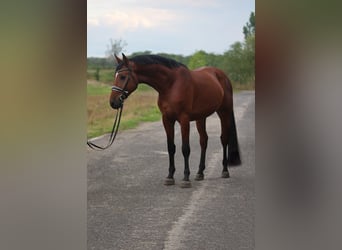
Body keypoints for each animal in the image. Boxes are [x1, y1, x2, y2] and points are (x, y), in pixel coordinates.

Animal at [110, 53, 240, 188]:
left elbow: (185, 149)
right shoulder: (167, 119)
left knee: (224, 139)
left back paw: (225, 170)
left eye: (123, 76)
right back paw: (200, 173)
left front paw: (186, 178)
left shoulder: (184, 119)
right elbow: (171, 148)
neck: (171, 84)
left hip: (224, 112)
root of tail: (222, 75)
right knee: (203, 140)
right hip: (201, 117)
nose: (113, 102)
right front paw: (170, 177)